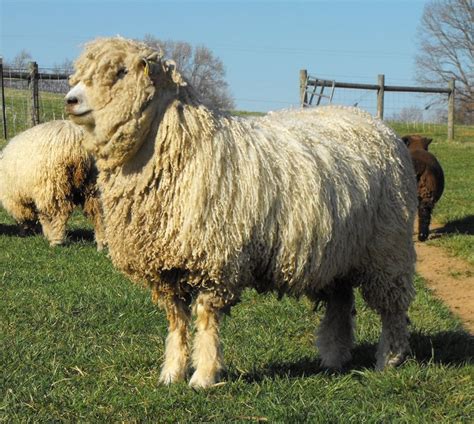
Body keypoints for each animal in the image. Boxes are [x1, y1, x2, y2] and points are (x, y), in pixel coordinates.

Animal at [0, 120, 104, 248]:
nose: (23, 233)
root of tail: (77, 143)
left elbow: (44, 217)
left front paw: (47, 233)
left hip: (55, 184)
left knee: (61, 214)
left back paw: (56, 241)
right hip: (92, 184)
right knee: (97, 212)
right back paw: (101, 243)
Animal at [67, 38, 418, 390]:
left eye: (121, 71)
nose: (71, 100)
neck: (180, 146)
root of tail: (377, 125)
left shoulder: (215, 261)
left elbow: (206, 319)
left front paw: (203, 376)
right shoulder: (167, 267)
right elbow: (176, 322)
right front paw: (171, 373)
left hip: (387, 248)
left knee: (392, 309)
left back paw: (389, 359)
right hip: (338, 253)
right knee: (341, 303)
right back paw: (334, 357)